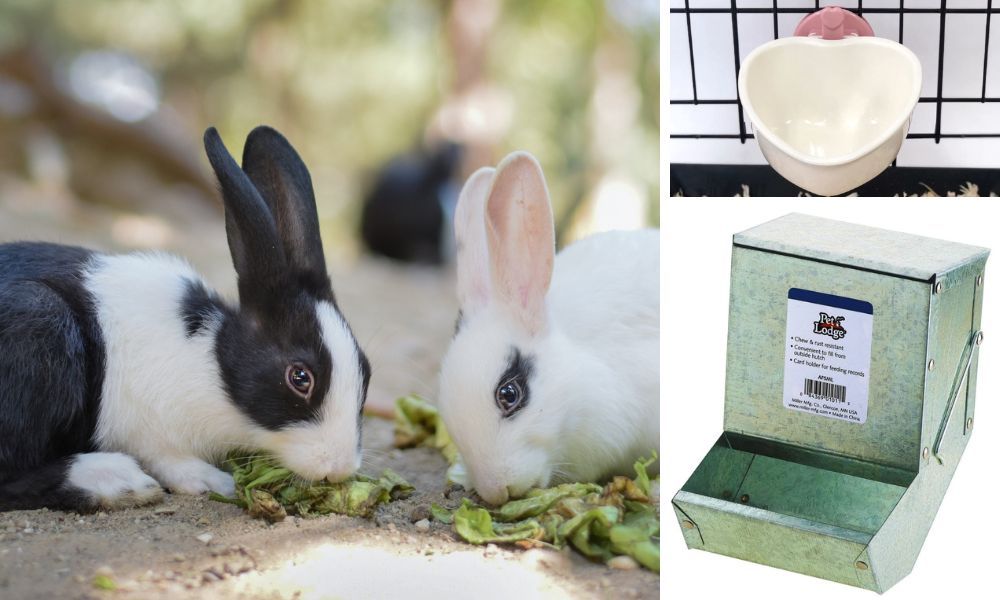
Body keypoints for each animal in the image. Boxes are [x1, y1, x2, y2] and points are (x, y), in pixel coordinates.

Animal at [0, 126, 371, 512]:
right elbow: (167, 458)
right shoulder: (146, 428)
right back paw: (116, 481)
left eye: (367, 370)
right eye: (300, 377)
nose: (339, 468)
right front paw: (213, 481)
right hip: (39, 319)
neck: (211, 366)